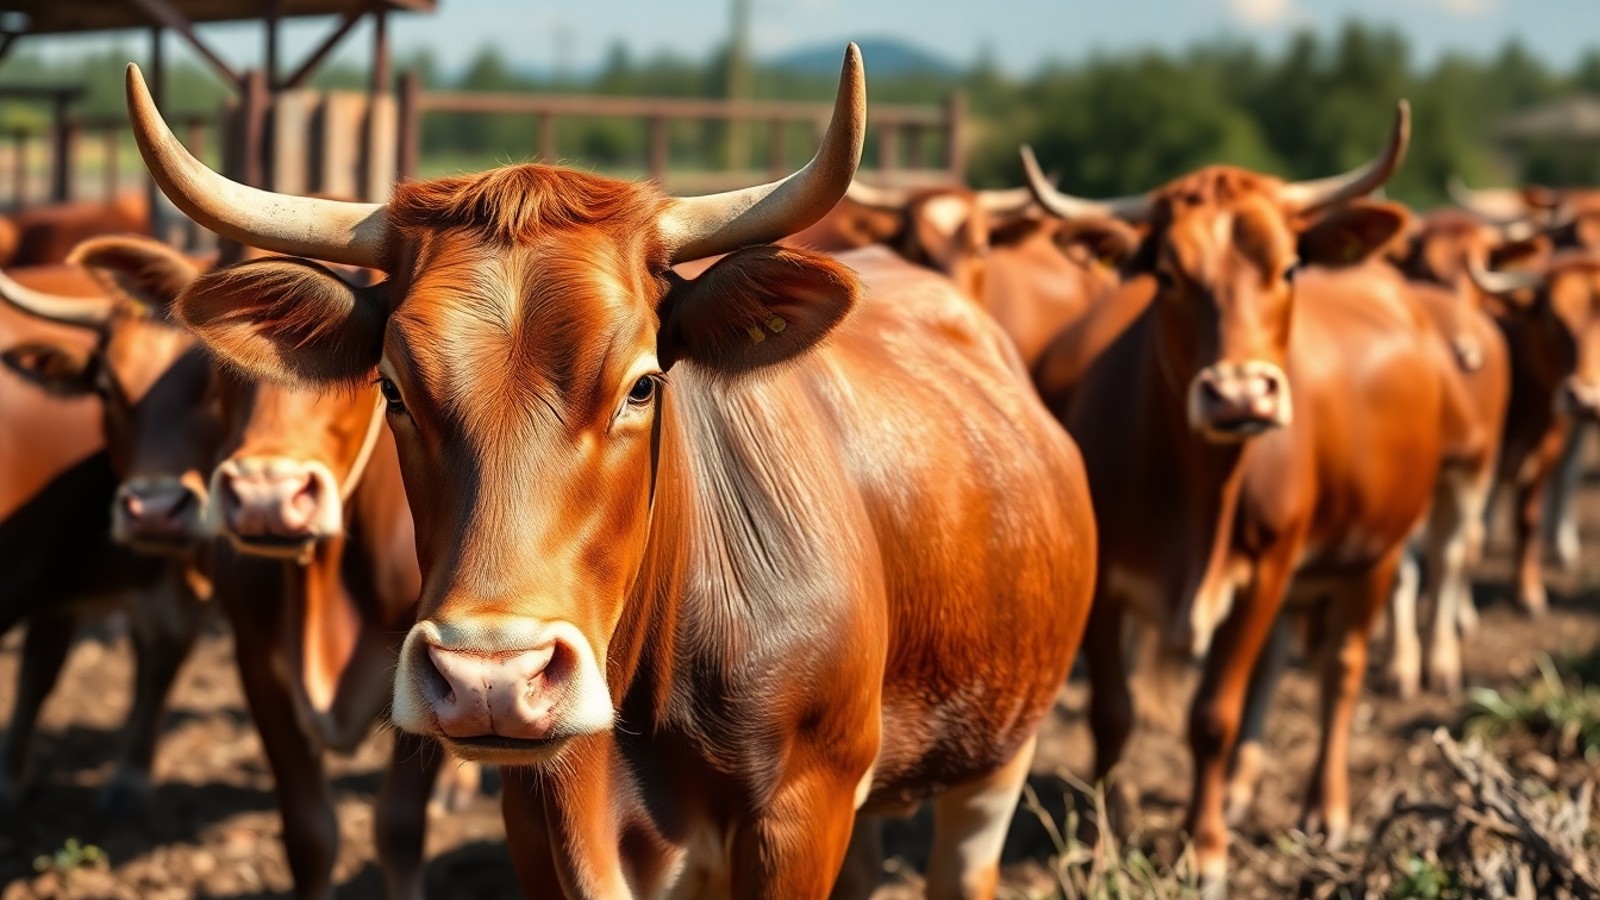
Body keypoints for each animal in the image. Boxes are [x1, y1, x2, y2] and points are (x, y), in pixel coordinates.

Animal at [128, 46, 1099, 898]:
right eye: (393, 389)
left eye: (641, 384)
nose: (489, 678)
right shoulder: (534, 821)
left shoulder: (799, 813)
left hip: (996, 753)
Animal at [1023, 104, 1445, 889]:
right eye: (1166, 273)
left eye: (1289, 267)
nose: (1240, 394)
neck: (1199, 491)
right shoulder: (1104, 584)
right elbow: (1112, 714)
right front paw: (1103, 837)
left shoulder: (1265, 574)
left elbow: (1212, 715)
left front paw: (1206, 846)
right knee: (1276, 668)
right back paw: (1247, 786)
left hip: (1374, 553)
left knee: (1340, 671)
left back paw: (1323, 805)